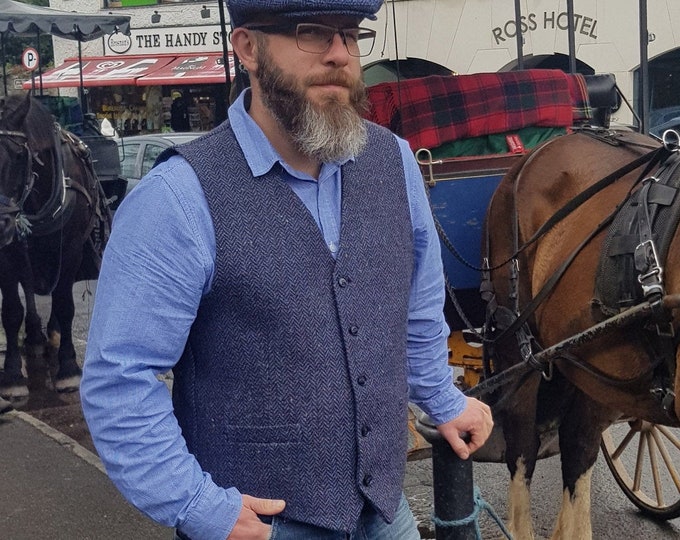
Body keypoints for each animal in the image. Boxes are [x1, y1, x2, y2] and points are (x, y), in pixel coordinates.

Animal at [0, 93, 109, 400]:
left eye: (18, 156)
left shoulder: (70, 247)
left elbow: (64, 303)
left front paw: (69, 369)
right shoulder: (8, 252)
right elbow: (11, 310)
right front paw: (12, 375)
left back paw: (52, 334)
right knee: (28, 286)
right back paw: (35, 336)